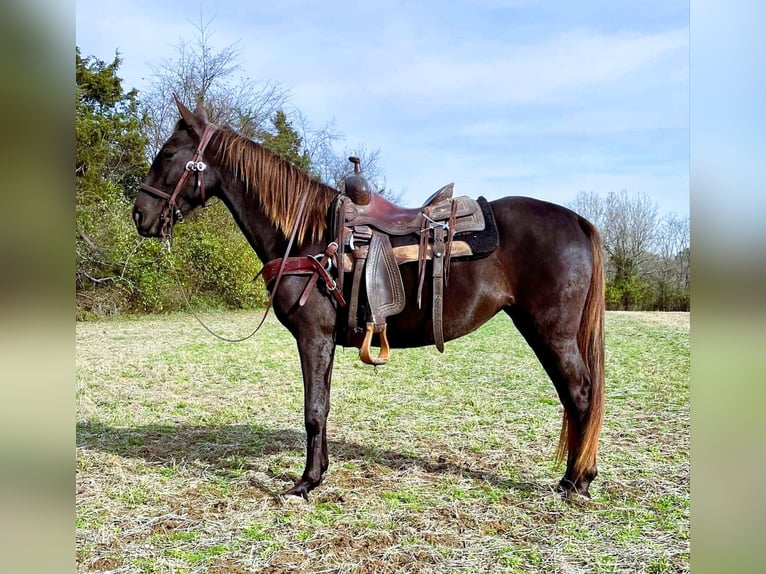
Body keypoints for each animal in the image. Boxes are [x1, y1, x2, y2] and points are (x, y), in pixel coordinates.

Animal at [135, 98, 608, 500]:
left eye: (168, 155)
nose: (140, 215)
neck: (306, 238)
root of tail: (577, 220)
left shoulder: (313, 336)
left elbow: (313, 409)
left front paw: (305, 483)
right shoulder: (324, 340)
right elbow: (322, 406)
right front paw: (320, 472)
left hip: (550, 331)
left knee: (580, 394)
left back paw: (576, 482)